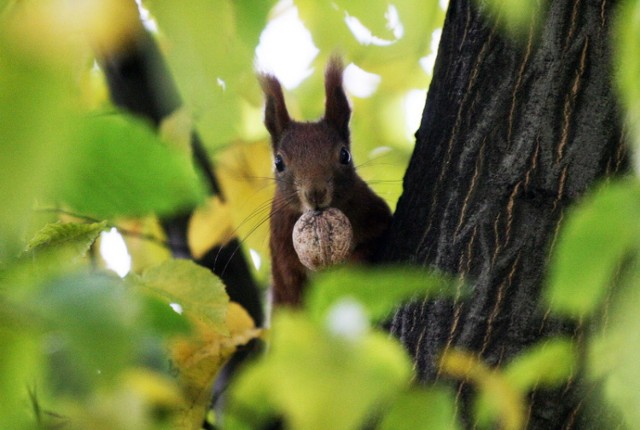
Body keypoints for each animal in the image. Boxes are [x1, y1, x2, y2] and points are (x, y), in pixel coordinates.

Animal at [258, 56, 390, 306]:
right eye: (278, 162)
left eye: (344, 155)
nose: (315, 193)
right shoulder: (281, 251)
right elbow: (291, 284)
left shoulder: (376, 217)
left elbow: (369, 246)